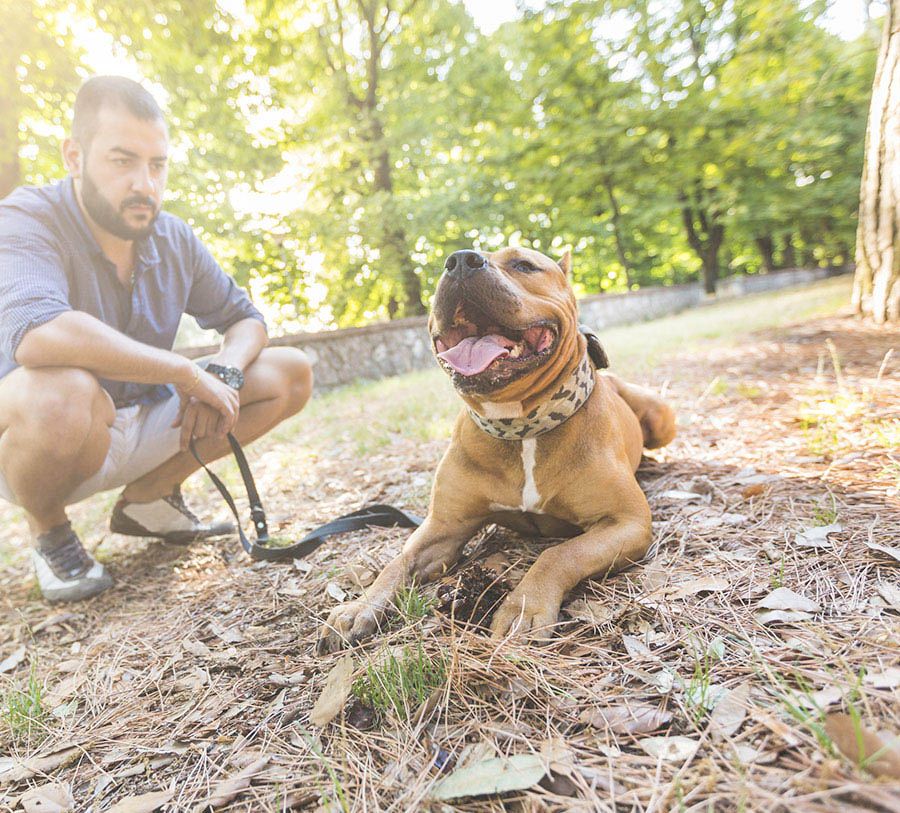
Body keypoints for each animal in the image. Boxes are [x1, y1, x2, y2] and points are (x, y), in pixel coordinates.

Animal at [316, 247, 676, 652]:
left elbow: (558, 553)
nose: (460, 260)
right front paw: (359, 607)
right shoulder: (443, 528)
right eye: (444, 265)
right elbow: (398, 562)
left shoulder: (626, 523)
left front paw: (524, 606)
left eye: (524, 265)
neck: (520, 427)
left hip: (661, 416)